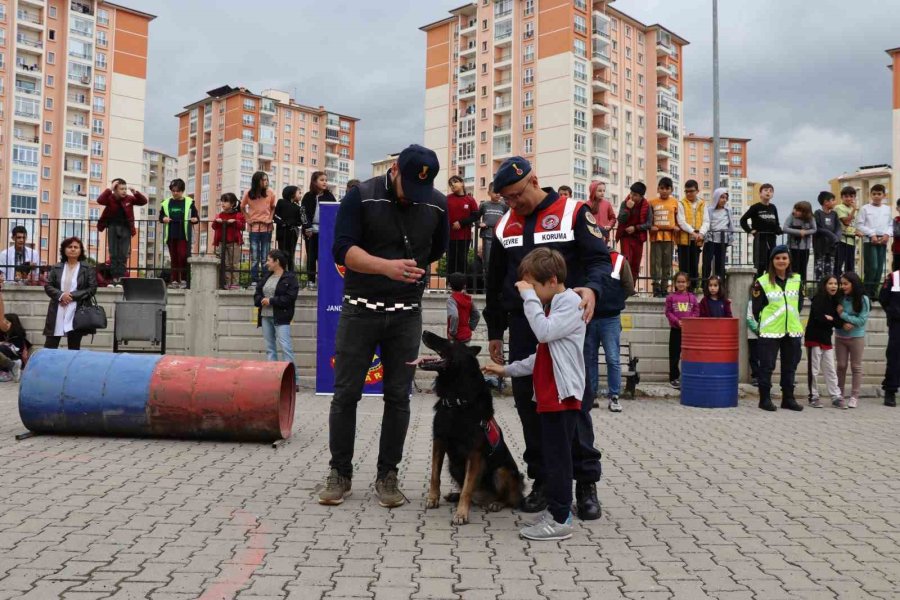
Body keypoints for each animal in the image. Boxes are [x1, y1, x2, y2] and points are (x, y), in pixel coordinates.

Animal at [412, 330, 524, 524]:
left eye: (450, 341)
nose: (424, 332)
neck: (457, 401)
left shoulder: (474, 454)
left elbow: (466, 488)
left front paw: (461, 513)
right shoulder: (439, 442)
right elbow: (435, 475)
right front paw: (433, 498)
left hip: (502, 471)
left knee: (510, 498)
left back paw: (496, 503)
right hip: (453, 465)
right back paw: (455, 496)